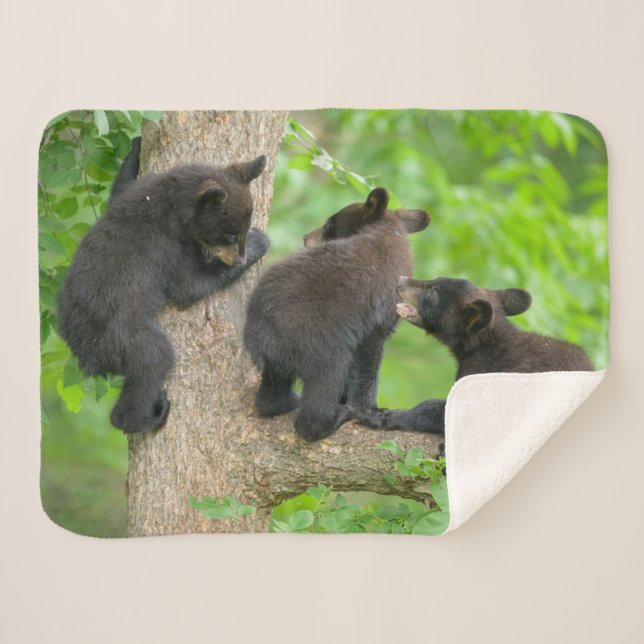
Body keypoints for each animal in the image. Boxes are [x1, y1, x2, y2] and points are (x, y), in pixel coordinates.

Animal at [58, 139, 270, 433]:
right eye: (230, 234)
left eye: (242, 227)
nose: (239, 257)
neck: (169, 201)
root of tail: (85, 356)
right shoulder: (166, 245)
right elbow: (187, 285)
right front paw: (259, 243)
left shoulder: (134, 193)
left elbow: (119, 190)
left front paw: (134, 149)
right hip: (123, 337)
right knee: (154, 360)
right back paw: (147, 416)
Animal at [243, 187, 430, 441]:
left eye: (330, 223)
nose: (306, 238)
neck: (388, 233)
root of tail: (259, 332)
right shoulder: (375, 311)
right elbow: (368, 361)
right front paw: (372, 412)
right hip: (318, 340)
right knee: (327, 379)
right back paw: (334, 416)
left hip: (280, 358)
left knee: (273, 392)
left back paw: (285, 402)